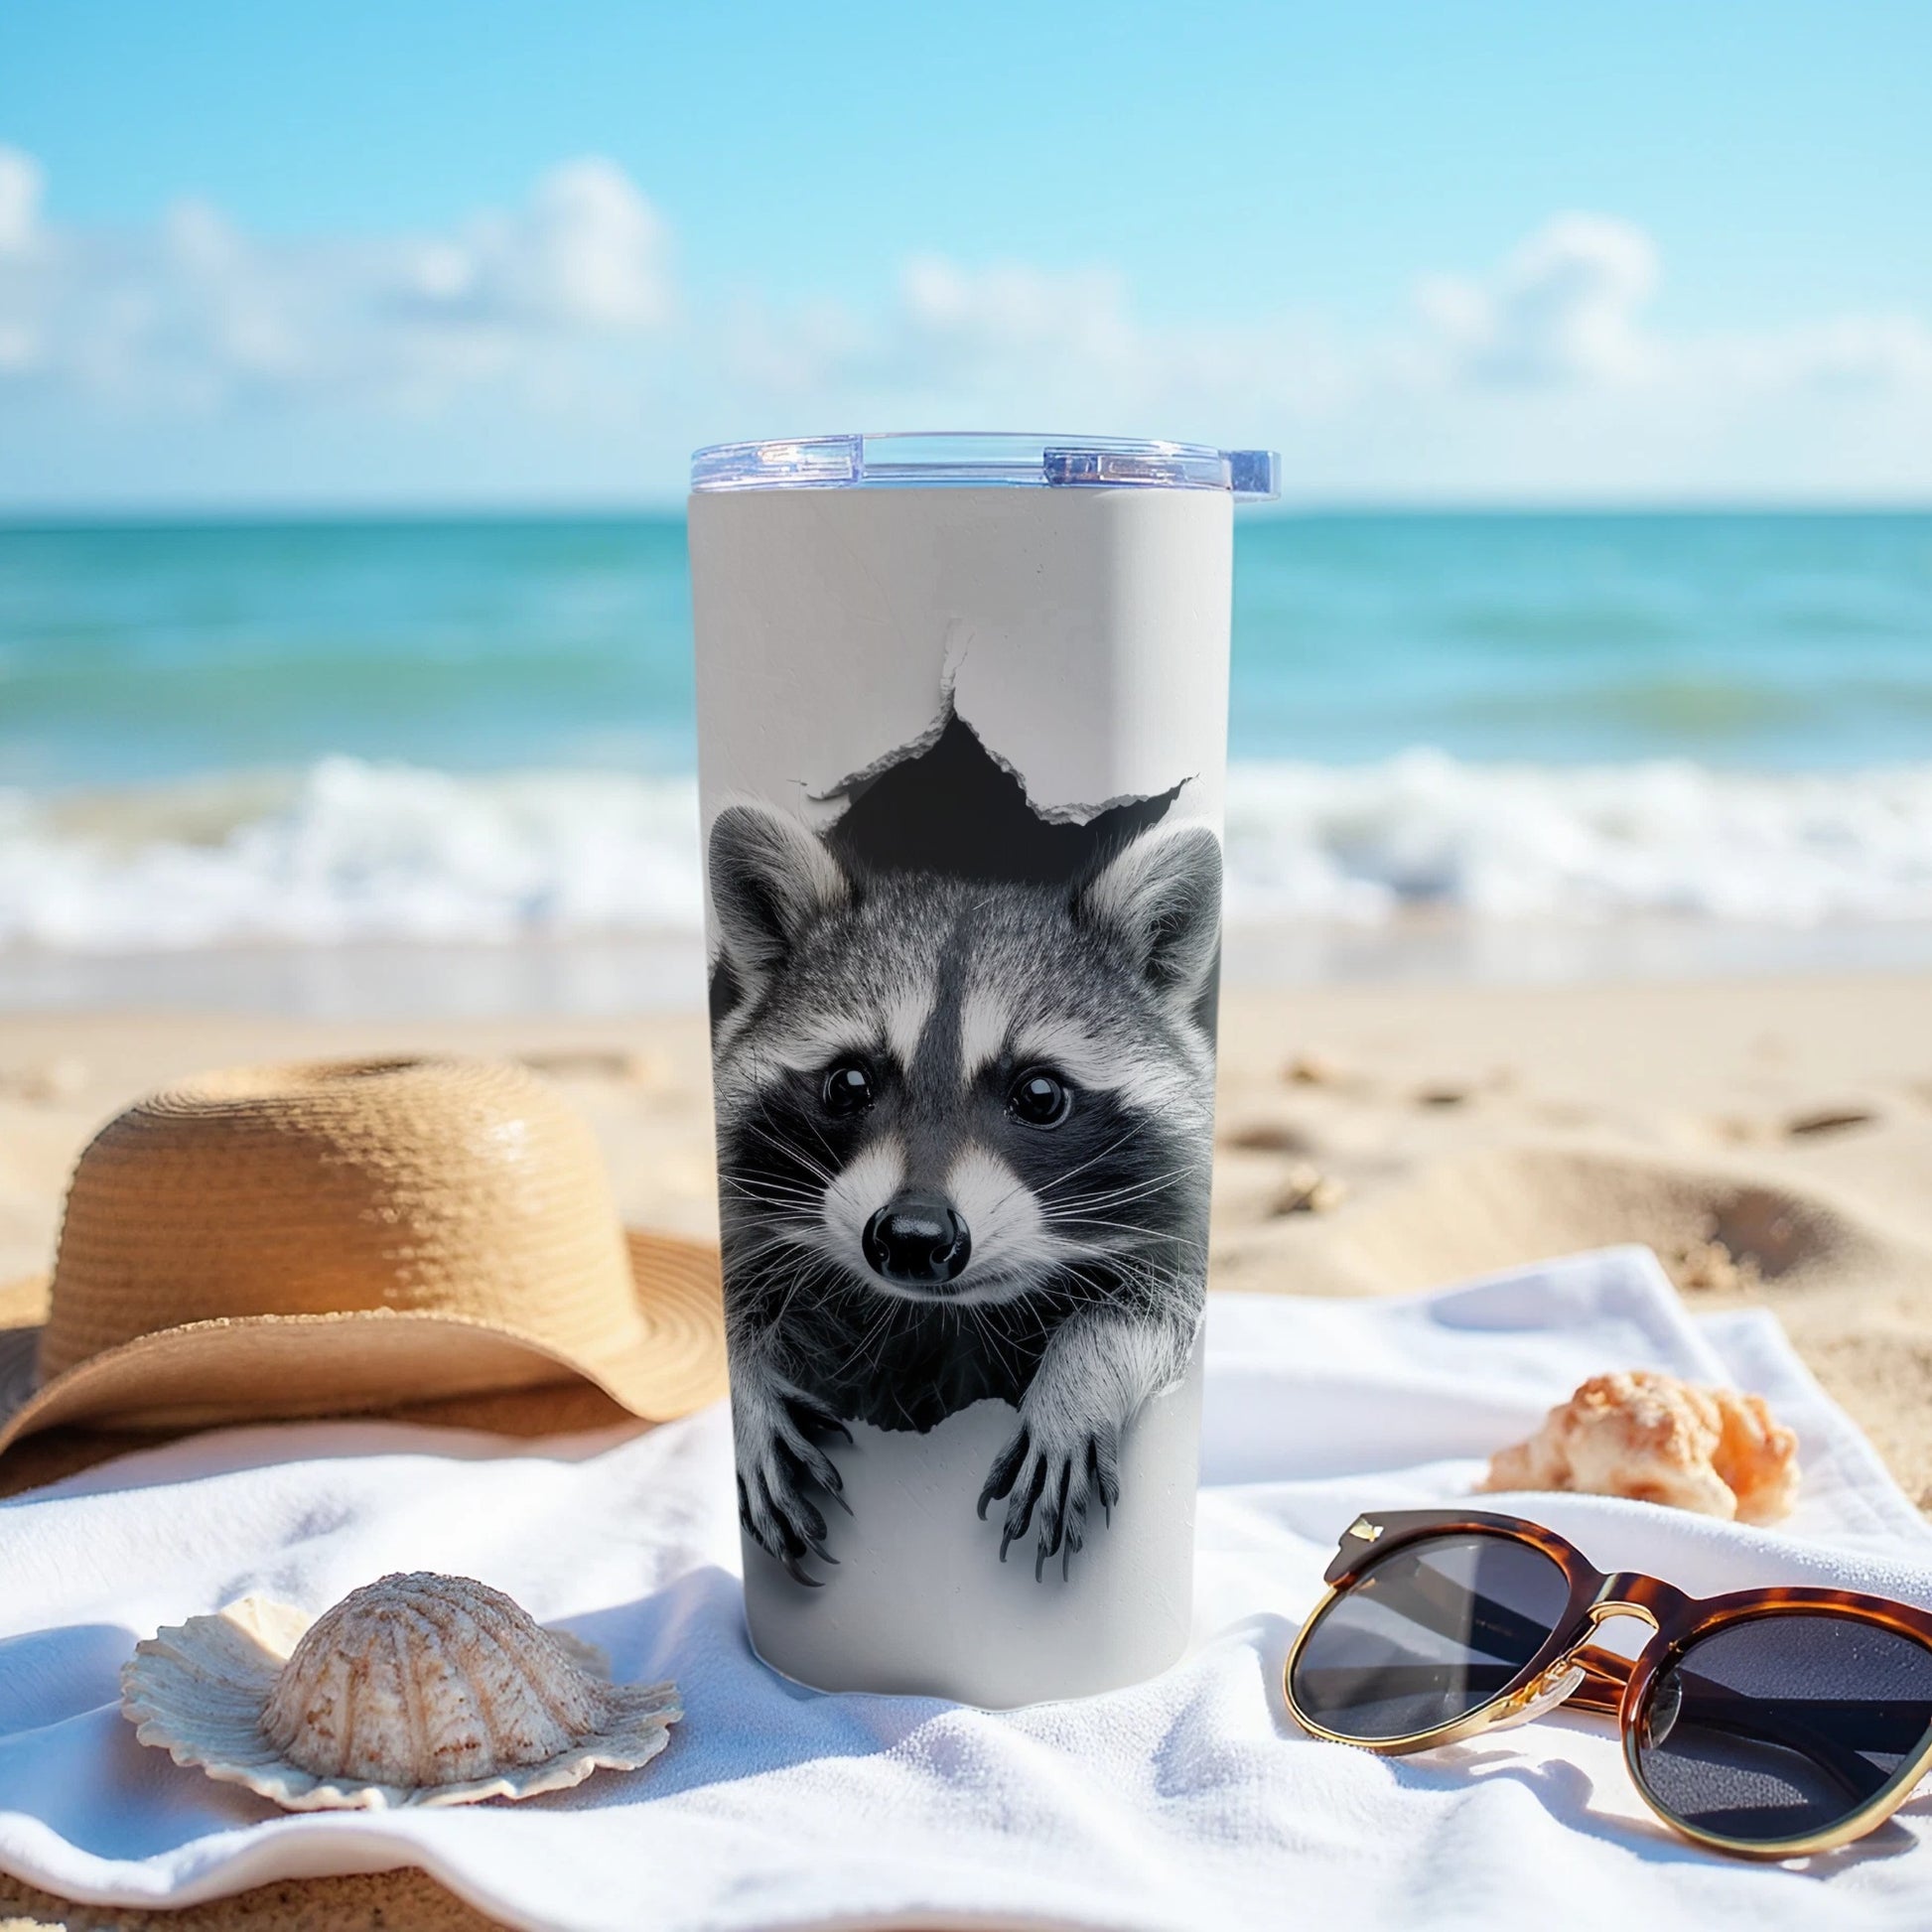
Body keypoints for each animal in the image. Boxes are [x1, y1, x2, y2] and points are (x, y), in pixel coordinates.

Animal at [708, 802, 1221, 1586]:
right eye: (849, 1083)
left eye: (1039, 1095)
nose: (914, 1236)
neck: (938, 1319)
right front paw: (746, 1390)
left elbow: (1153, 1314)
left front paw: (1080, 1377)